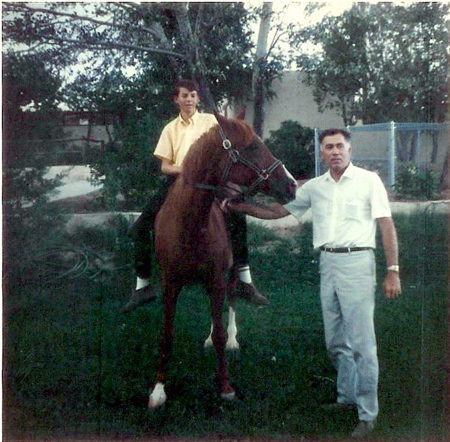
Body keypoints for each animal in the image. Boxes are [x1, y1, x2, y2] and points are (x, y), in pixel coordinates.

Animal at [148, 112, 298, 410]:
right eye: (253, 147)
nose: (292, 185)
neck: (190, 224)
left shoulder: (217, 277)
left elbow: (219, 332)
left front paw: (226, 386)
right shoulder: (170, 282)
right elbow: (165, 335)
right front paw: (158, 391)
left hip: (229, 271)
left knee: (230, 300)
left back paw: (232, 339)